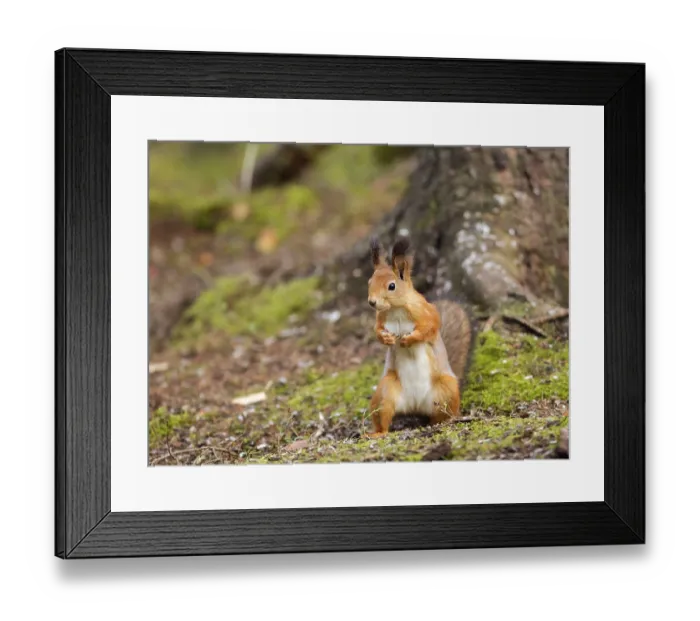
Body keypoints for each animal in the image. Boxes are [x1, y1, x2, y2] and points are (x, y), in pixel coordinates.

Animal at [367, 237, 475, 437]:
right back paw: (377, 433)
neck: (396, 309)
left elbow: (429, 327)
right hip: (385, 392)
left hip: (447, 390)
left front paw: (408, 339)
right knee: (383, 416)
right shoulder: (380, 319)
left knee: (443, 415)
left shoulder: (426, 312)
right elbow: (377, 331)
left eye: (391, 286)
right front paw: (387, 340)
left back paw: (449, 420)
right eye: (370, 282)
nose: (372, 302)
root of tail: (415, 406)